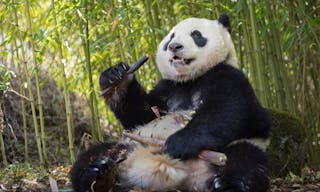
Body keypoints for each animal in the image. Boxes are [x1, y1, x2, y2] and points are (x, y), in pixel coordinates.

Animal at [70, 13, 270, 192]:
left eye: (196, 35)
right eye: (171, 37)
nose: (174, 46)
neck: (190, 79)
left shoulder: (228, 75)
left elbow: (226, 108)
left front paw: (177, 143)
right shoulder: (166, 89)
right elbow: (140, 115)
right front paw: (116, 77)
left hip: (236, 149)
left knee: (245, 162)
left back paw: (226, 185)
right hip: (128, 145)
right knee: (93, 154)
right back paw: (97, 174)